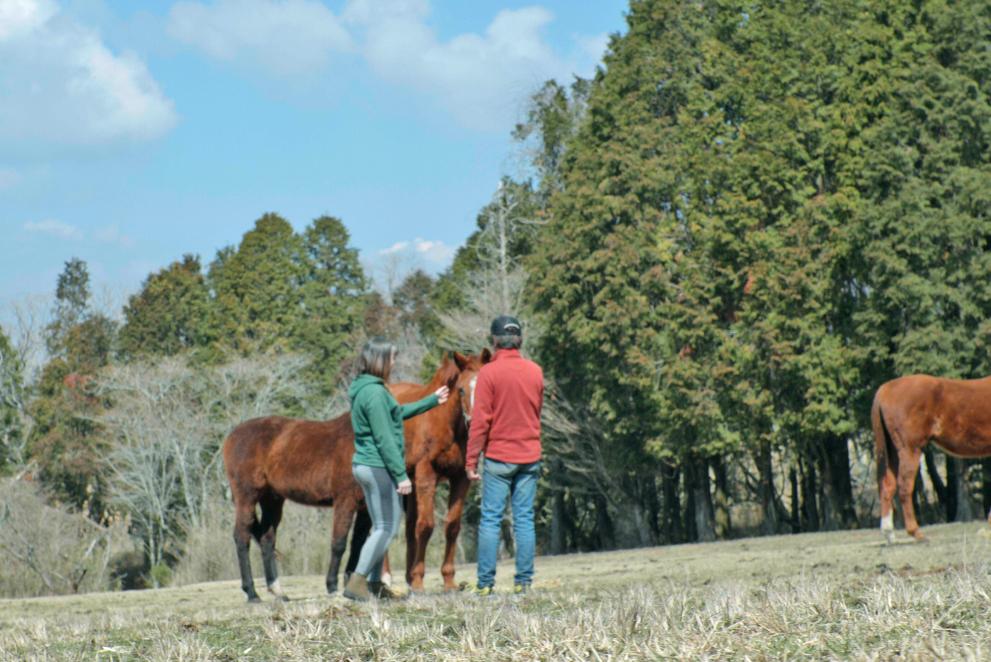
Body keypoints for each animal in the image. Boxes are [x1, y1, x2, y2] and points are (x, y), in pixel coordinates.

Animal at [872, 374, 991, 544]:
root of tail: (885, 389)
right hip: (910, 449)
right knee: (904, 487)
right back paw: (916, 533)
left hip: (892, 451)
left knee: (888, 486)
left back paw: (889, 534)